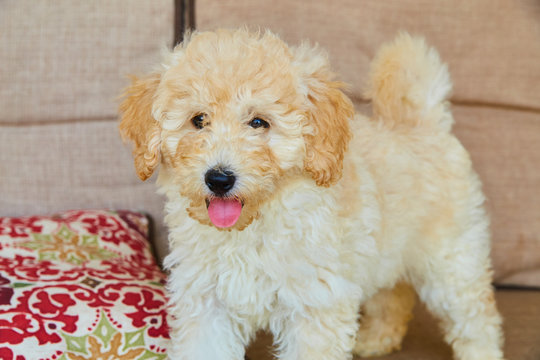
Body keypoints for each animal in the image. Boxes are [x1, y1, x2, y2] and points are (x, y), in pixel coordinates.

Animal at [120, 28, 504, 360]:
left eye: (258, 122)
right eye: (198, 120)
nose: (218, 178)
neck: (250, 229)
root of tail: (422, 123)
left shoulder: (315, 305)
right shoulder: (207, 302)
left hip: (451, 261)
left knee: (476, 317)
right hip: (386, 253)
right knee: (394, 294)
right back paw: (377, 339)